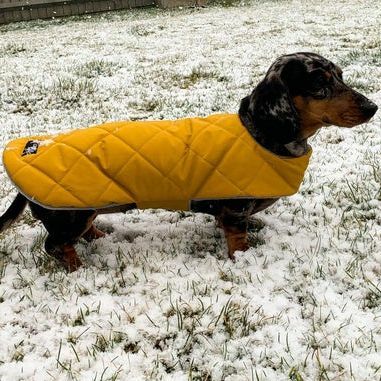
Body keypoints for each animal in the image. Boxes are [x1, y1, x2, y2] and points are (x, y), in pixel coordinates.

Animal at [0, 52, 374, 270]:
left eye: (340, 76)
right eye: (319, 83)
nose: (372, 107)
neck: (259, 134)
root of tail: (33, 148)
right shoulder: (234, 208)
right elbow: (237, 237)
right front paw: (243, 260)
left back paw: (98, 237)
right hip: (69, 215)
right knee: (54, 245)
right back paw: (77, 266)